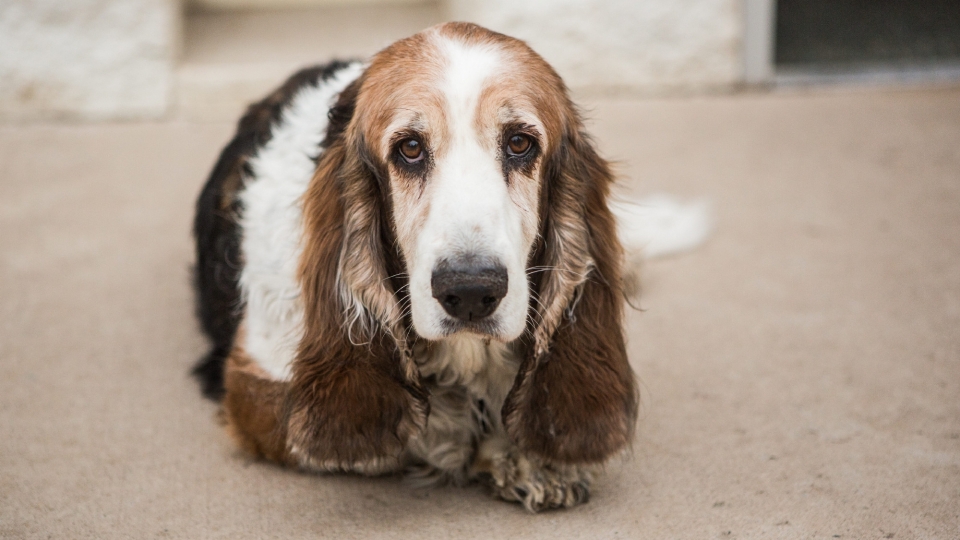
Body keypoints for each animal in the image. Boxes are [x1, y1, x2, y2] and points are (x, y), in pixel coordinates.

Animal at [191, 21, 708, 510]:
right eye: (410, 149)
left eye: (520, 143)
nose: (472, 291)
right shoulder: (254, 382)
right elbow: (416, 432)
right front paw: (505, 453)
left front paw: (535, 460)